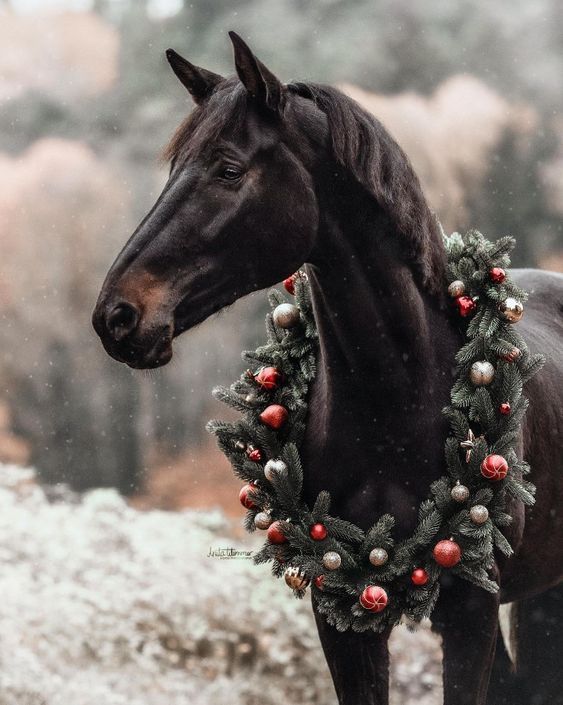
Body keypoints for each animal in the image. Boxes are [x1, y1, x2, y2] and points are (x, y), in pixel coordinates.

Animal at [94, 34, 563, 704]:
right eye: (175, 166)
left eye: (228, 168)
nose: (117, 316)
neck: (400, 400)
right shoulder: (342, 611)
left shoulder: (471, 611)